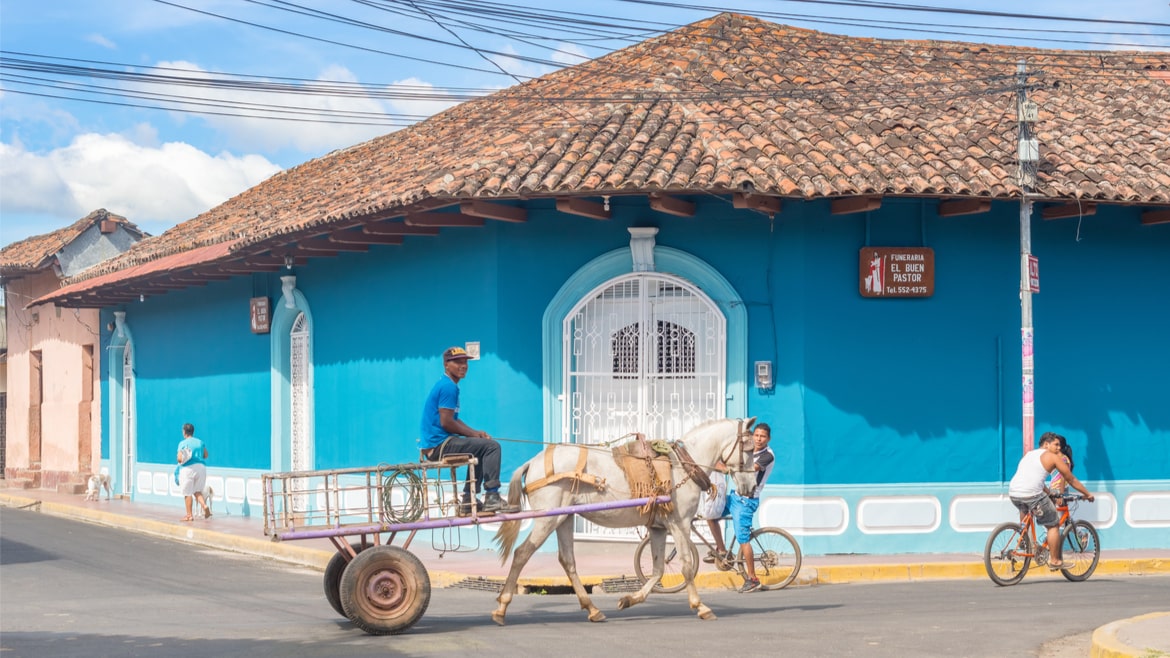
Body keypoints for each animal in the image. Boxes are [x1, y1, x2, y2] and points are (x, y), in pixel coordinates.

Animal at [491, 416, 758, 622]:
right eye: (750, 449)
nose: (753, 486)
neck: (683, 463)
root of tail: (534, 462)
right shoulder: (680, 524)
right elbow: (685, 565)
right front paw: (700, 606)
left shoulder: (659, 528)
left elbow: (659, 570)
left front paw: (630, 599)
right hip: (547, 519)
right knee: (522, 553)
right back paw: (502, 607)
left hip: (563, 518)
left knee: (567, 560)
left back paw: (592, 609)